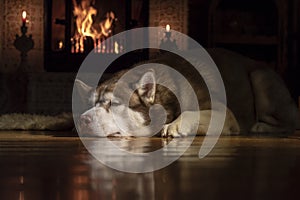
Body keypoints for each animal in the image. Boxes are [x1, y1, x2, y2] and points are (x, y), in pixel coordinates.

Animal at [75, 48, 300, 138]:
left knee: (289, 122)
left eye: (113, 104)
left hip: (260, 78)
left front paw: (174, 125)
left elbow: (191, 114)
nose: (83, 120)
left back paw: (260, 127)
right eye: (88, 105)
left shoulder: (226, 115)